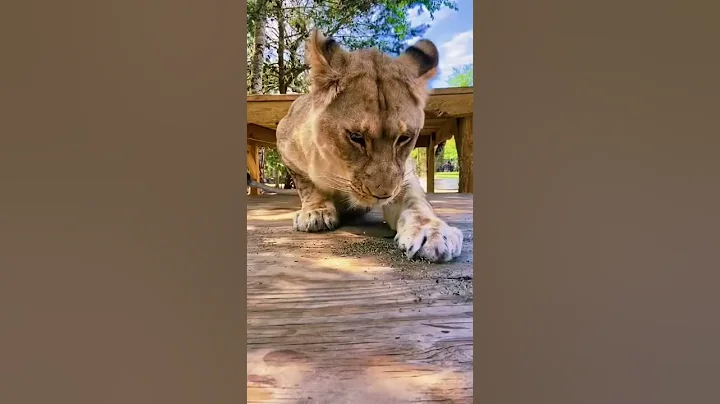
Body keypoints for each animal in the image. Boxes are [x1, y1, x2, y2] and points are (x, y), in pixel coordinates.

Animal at [275, 30, 463, 263]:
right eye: (356, 137)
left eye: (404, 138)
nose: (382, 195)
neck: (339, 169)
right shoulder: (285, 143)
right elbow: (307, 185)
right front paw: (315, 212)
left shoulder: (404, 177)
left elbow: (416, 203)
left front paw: (434, 234)